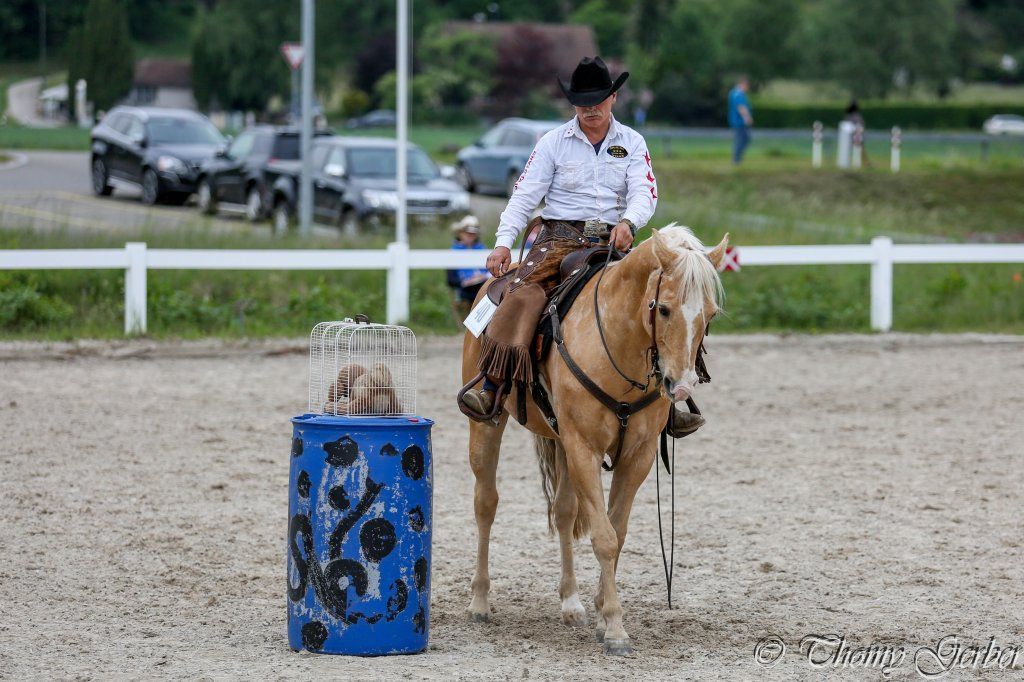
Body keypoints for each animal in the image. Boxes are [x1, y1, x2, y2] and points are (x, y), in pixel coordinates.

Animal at [460, 224, 729, 655]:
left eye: (710, 313)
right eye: (664, 308)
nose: (682, 386)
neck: (617, 344)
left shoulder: (636, 456)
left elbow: (616, 533)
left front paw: (603, 613)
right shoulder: (585, 448)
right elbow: (603, 537)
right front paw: (616, 629)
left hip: (562, 445)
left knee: (565, 512)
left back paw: (571, 603)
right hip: (488, 427)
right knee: (486, 503)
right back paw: (480, 601)